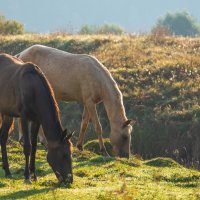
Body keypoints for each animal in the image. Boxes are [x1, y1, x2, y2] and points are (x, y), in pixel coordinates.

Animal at [0, 53, 73, 184]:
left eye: (71, 153)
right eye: (64, 155)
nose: (70, 179)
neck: (33, 88)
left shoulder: (37, 120)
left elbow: (34, 146)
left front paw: (34, 175)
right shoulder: (24, 117)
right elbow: (27, 147)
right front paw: (27, 177)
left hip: (7, 113)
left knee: (3, 138)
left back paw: (7, 171)